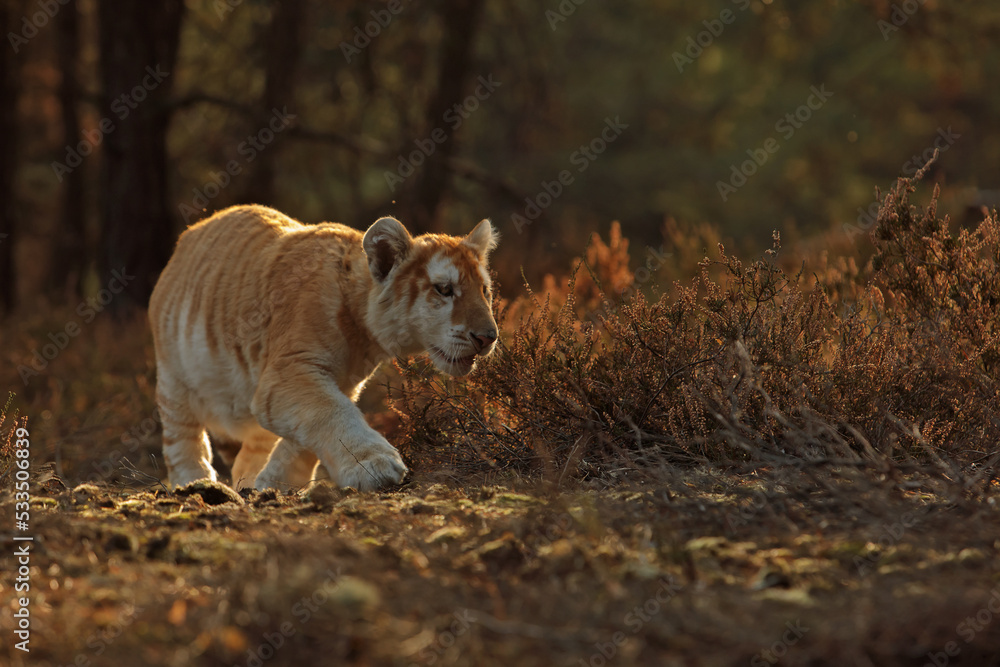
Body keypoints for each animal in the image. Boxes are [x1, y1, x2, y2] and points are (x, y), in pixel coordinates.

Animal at [147, 204, 498, 492]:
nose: (489, 337)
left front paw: (275, 482)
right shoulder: (290, 372)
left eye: (484, 291)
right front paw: (377, 465)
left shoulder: (336, 382)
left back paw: (247, 478)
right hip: (174, 379)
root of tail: (194, 230)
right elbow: (334, 413)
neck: (362, 329)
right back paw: (194, 481)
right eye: (445, 290)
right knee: (182, 437)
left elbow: (305, 437)